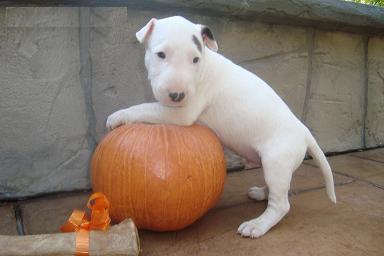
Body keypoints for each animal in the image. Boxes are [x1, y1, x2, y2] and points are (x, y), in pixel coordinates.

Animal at [106, 16, 336, 238]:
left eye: (195, 59)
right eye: (161, 54)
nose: (177, 95)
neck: (205, 66)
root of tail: (305, 133)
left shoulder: (182, 113)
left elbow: (147, 107)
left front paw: (118, 115)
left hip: (276, 161)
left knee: (281, 205)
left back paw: (257, 225)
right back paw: (261, 193)